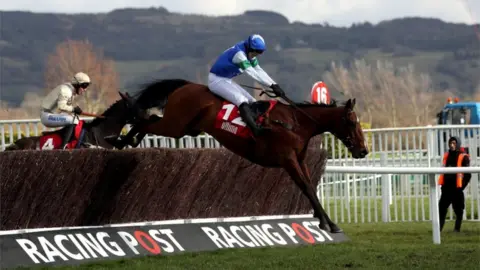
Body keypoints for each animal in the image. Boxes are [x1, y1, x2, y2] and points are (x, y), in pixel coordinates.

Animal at [118, 79, 370, 233]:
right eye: (351, 122)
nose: (363, 151)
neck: (295, 124)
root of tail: (186, 86)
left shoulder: (299, 159)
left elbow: (310, 187)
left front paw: (328, 221)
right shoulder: (287, 159)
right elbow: (307, 188)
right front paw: (328, 224)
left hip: (185, 128)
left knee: (150, 120)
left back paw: (129, 139)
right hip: (175, 125)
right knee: (147, 121)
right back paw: (121, 139)